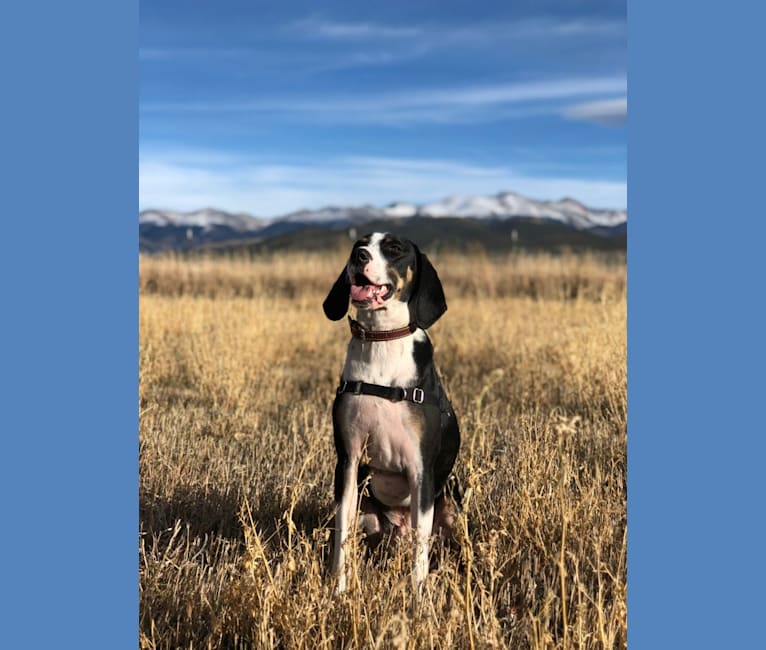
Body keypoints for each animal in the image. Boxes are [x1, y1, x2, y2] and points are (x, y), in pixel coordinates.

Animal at [324, 232, 462, 592]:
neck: (382, 339)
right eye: (358, 243)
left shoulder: (421, 468)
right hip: (368, 511)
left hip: (450, 503)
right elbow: (341, 538)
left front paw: (418, 599)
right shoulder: (348, 460)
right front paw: (338, 590)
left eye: (394, 249)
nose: (358, 256)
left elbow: (420, 552)